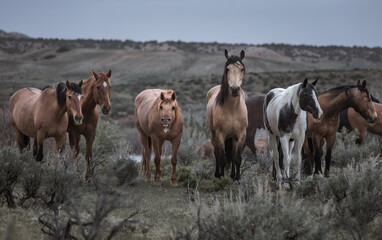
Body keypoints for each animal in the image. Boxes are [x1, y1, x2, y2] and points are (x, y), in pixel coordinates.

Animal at [206, 48, 248, 180]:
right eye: (227, 69)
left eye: (242, 69)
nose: (234, 89)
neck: (232, 109)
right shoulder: (220, 135)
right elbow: (223, 159)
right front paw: (222, 178)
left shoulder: (241, 135)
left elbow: (237, 158)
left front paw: (237, 178)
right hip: (214, 135)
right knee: (217, 154)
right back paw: (217, 174)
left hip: (232, 138)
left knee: (232, 153)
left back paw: (232, 174)